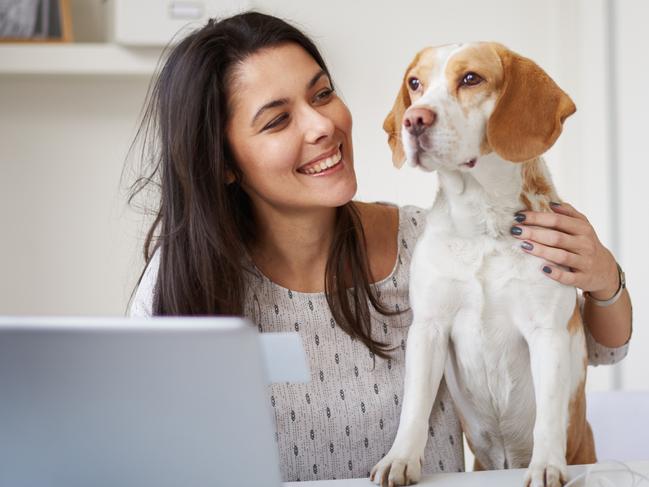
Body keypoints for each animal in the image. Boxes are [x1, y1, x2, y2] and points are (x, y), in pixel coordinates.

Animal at [370, 43, 596, 487]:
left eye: (471, 78)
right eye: (415, 83)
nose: (413, 118)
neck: (483, 223)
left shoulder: (546, 331)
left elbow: (548, 417)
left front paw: (546, 465)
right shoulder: (429, 328)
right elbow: (414, 408)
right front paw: (400, 459)